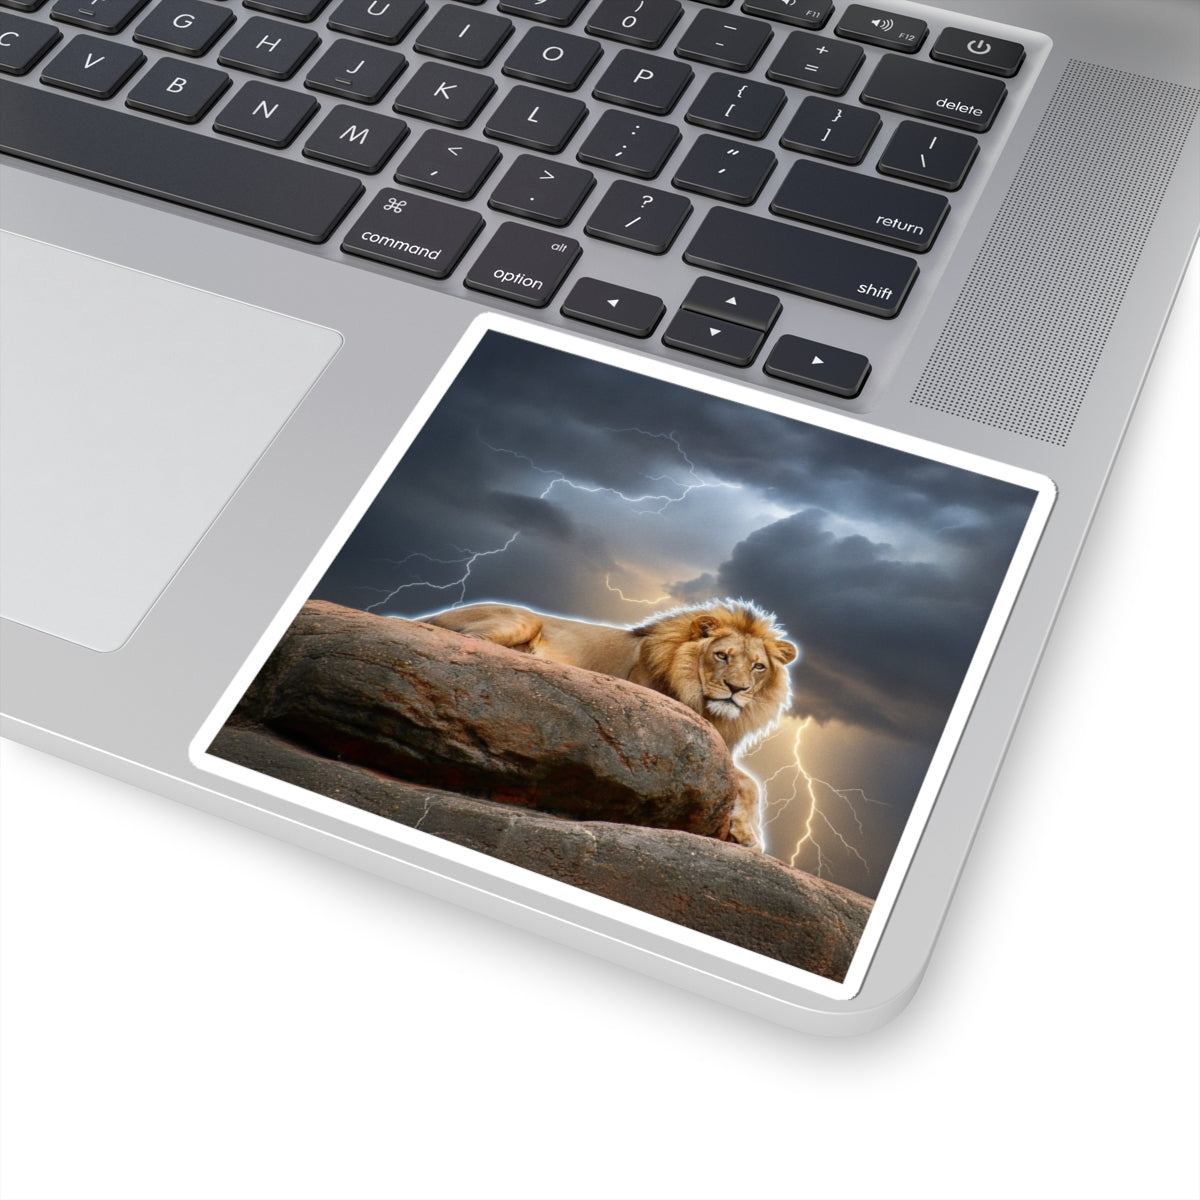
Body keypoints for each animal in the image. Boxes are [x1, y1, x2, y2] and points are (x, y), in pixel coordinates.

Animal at [422, 601, 798, 852]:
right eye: (721, 656)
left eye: (758, 666)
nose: (737, 689)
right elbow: (748, 781)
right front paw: (749, 835)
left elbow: (750, 782)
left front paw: (746, 832)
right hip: (523, 618)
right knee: (475, 640)